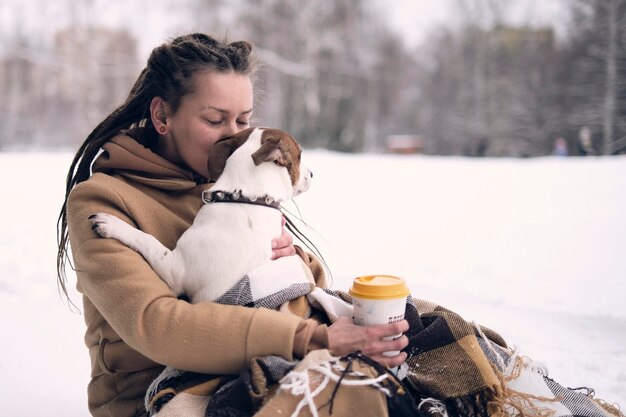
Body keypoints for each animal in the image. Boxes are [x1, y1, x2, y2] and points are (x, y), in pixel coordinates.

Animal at [89, 127, 310, 302]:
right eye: (300, 156)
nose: (312, 174)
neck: (243, 196)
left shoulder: (175, 271)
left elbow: (148, 240)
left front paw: (112, 223)